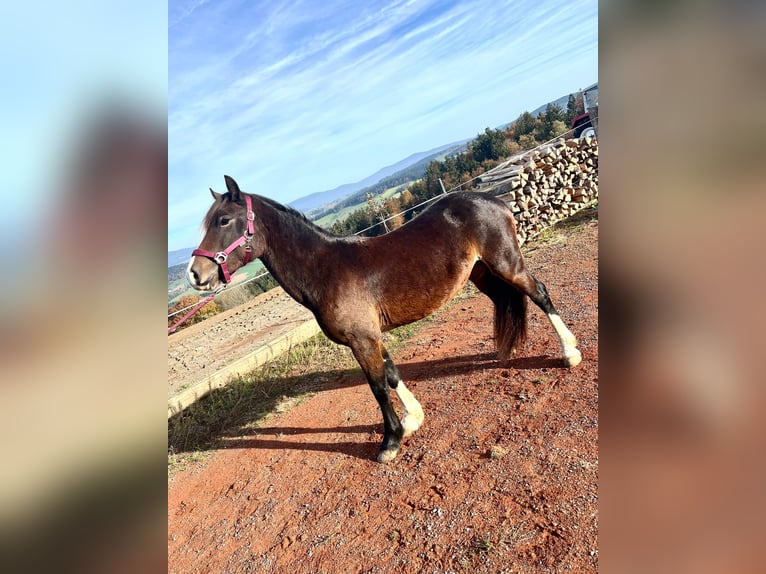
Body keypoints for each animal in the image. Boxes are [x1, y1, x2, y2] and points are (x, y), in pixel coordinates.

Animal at [188, 174, 584, 464]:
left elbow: (377, 387)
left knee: (540, 294)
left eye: (224, 220)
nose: (195, 275)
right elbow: (392, 375)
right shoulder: (370, 336)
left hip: (506, 265)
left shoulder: (362, 340)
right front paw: (413, 419)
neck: (325, 269)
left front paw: (390, 441)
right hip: (482, 274)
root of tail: (492, 199)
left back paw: (569, 353)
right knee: (507, 301)